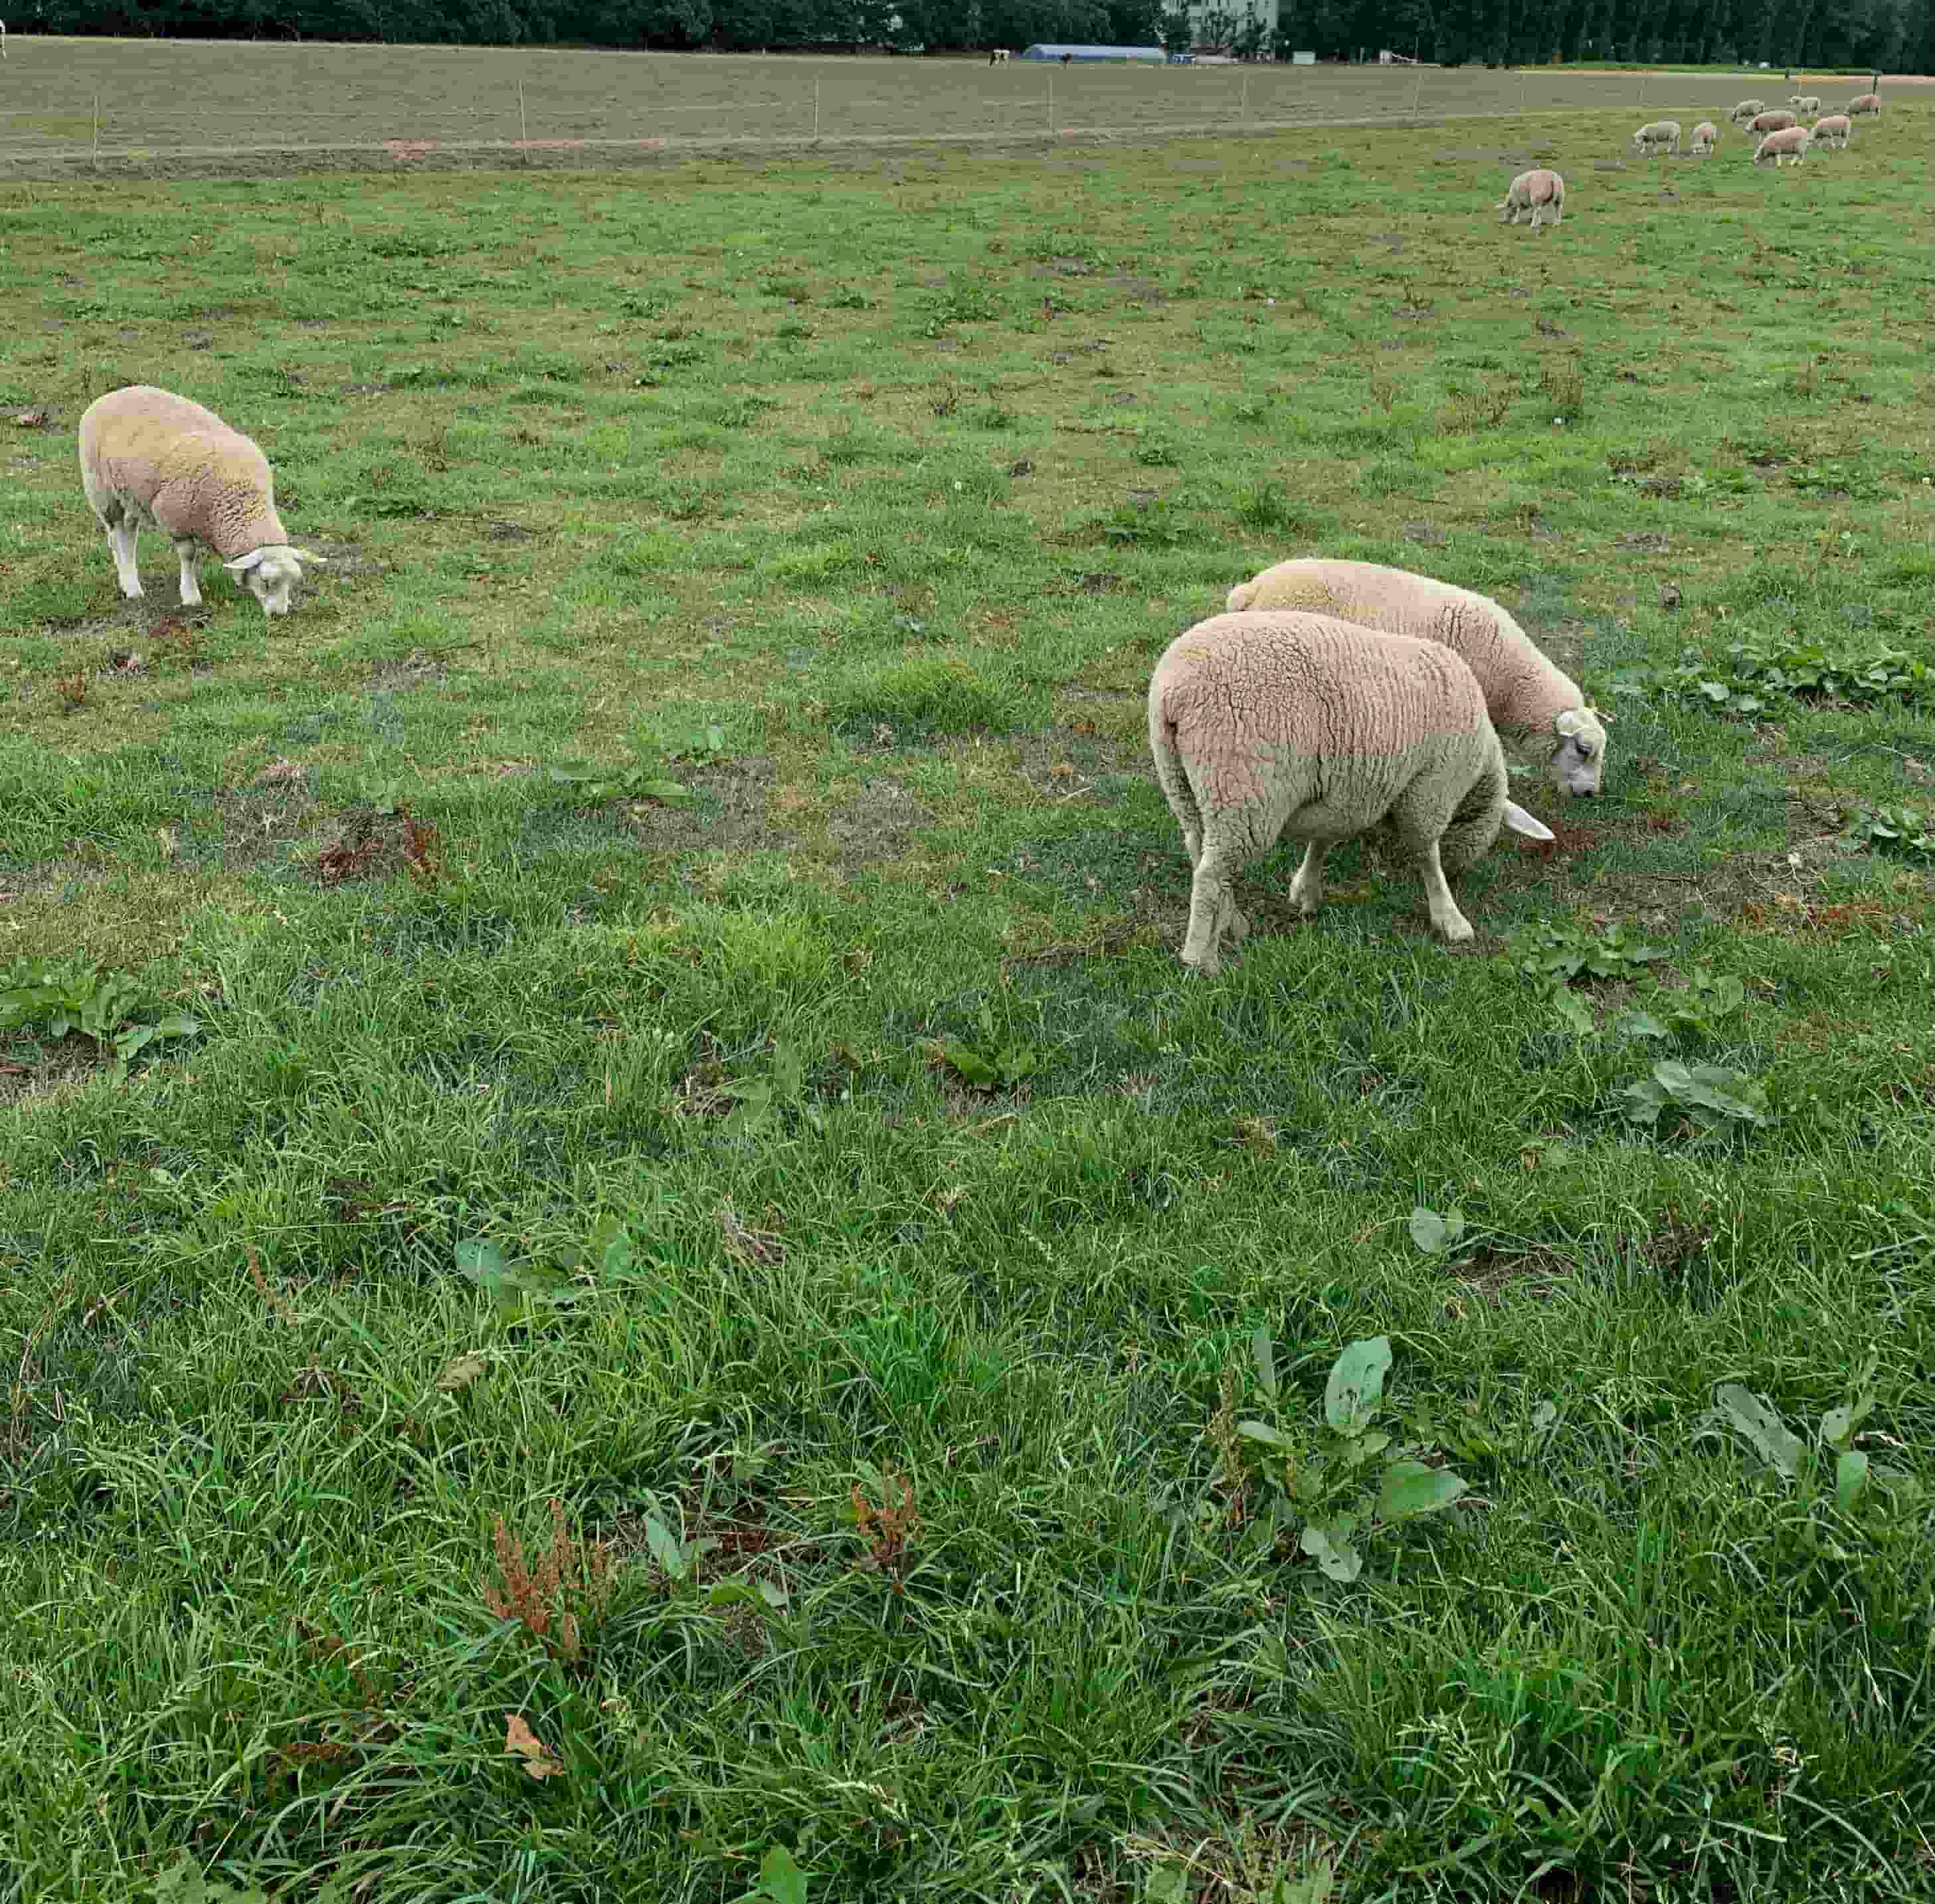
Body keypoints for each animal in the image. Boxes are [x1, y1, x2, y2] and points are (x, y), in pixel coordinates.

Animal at [77, 383, 323, 619]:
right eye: (265, 581)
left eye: (292, 582)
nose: (279, 615)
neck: (240, 499)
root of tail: (111, 395)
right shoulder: (176, 520)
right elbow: (188, 555)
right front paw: (191, 596)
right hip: (101, 491)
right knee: (117, 536)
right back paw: (132, 587)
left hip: (129, 495)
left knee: (127, 533)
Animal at [1145, 611, 1556, 967]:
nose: (1461, 875)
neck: (1478, 770)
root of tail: (1174, 692)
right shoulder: (1430, 790)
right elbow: (1427, 854)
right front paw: (1449, 916)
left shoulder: (1351, 791)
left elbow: (1323, 840)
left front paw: (1306, 891)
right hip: (1243, 787)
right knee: (1211, 874)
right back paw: (1201, 960)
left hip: (1185, 782)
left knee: (1199, 849)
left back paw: (1233, 922)